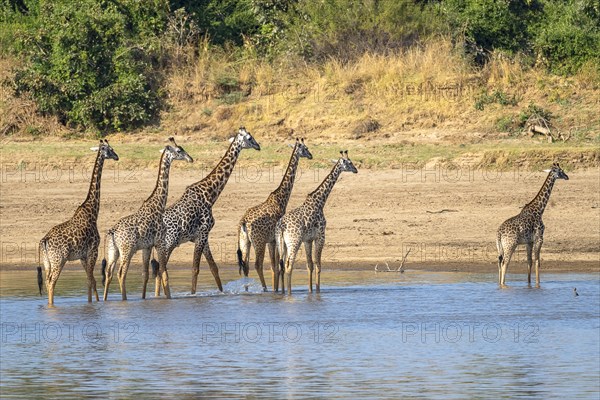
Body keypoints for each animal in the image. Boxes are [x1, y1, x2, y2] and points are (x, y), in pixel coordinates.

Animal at [38, 141, 118, 306]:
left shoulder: (82, 256)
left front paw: (91, 304)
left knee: (48, 281)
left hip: (48, 262)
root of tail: (44, 240)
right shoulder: (93, 250)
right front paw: (96, 303)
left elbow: (90, 280)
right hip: (59, 260)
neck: (93, 211)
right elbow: (92, 281)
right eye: (110, 149)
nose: (117, 156)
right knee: (52, 282)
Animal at [102, 138, 192, 300]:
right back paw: (124, 300)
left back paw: (105, 300)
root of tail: (112, 232)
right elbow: (164, 273)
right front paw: (169, 298)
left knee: (109, 273)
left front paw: (144, 298)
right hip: (127, 250)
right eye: (179, 151)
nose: (190, 159)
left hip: (114, 251)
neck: (159, 205)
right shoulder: (160, 242)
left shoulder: (147, 246)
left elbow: (146, 274)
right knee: (121, 273)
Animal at [155, 126, 260, 298]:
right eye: (250, 138)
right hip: (168, 244)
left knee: (159, 270)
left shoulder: (203, 237)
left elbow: (213, 267)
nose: (258, 146)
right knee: (160, 270)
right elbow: (195, 268)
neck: (210, 195)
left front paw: (221, 292)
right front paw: (193, 295)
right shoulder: (203, 233)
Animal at [238, 138, 314, 290]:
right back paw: (265, 289)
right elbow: (278, 267)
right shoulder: (274, 239)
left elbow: (274, 267)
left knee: (245, 265)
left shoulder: (271, 241)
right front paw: (278, 289)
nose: (310, 155)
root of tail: (243, 222)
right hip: (258, 242)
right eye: (305, 148)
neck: (281, 198)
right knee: (257, 265)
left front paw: (277, 289)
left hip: (245, 242)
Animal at [276, 150, 356, 294]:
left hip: (282, 244)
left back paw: (283, 292)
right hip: (294, 242)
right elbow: (318, 264)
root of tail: (281, 226)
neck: (320, 202)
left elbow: (310, 265)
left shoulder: (308, 240)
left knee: (282, 266)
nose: (356, 170)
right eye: (349, 162)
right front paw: (318, 290)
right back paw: (289, 293)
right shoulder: (321, 236)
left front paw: (310, 291)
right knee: (289, 266)